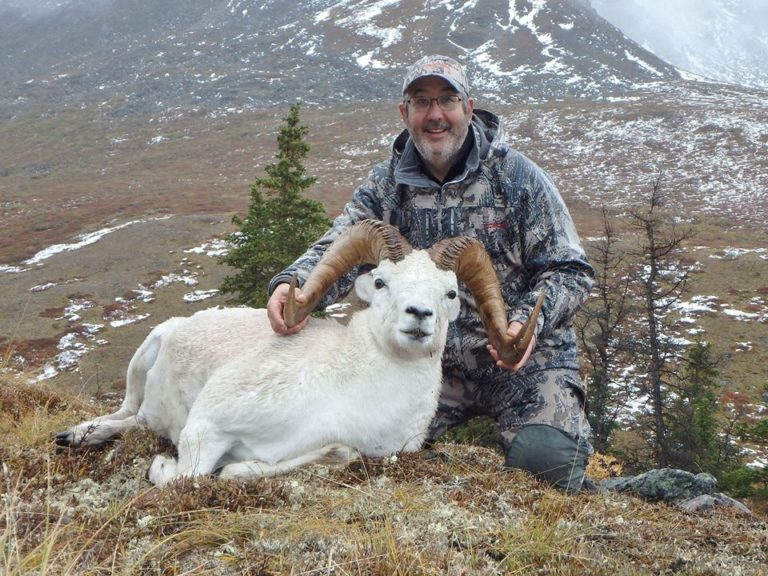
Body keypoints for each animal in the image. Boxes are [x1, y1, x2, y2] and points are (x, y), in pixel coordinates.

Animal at [57, 220, 544, 486]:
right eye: (381, 281)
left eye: (449, 293)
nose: (419, 315)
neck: (352, 392)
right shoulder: (205, 427)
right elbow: (185, 476)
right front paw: (161, 462)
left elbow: (320, 457)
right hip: (141, 363)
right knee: (126, 414)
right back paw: (76, 435)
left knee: (134, 422)